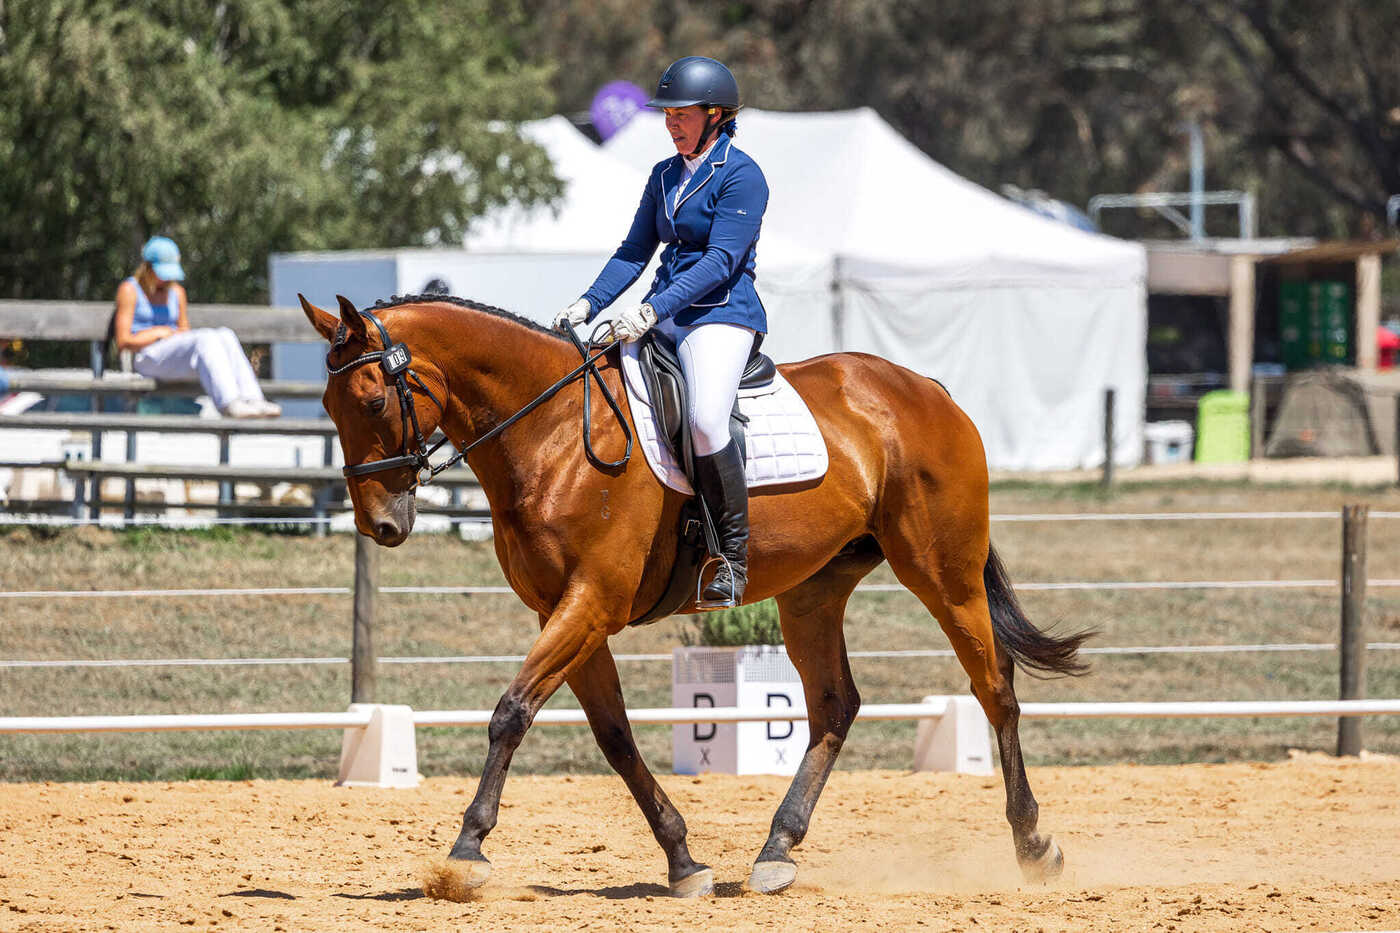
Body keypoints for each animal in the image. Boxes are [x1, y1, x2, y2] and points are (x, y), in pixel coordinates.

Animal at [300, 291, 1090, 899]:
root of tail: (927, 389)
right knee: (835, 703)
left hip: (943, 574)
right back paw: (776, 851)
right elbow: (615, 737)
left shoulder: (590, 602)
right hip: (814, 590)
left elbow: (511, 713)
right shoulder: (566, 611)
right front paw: (683, 859)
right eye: (328, 403)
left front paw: (466, 852)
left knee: (995, 689)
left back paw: (1033, 845)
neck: (549, 433)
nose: (381, 525)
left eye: (372, 398)